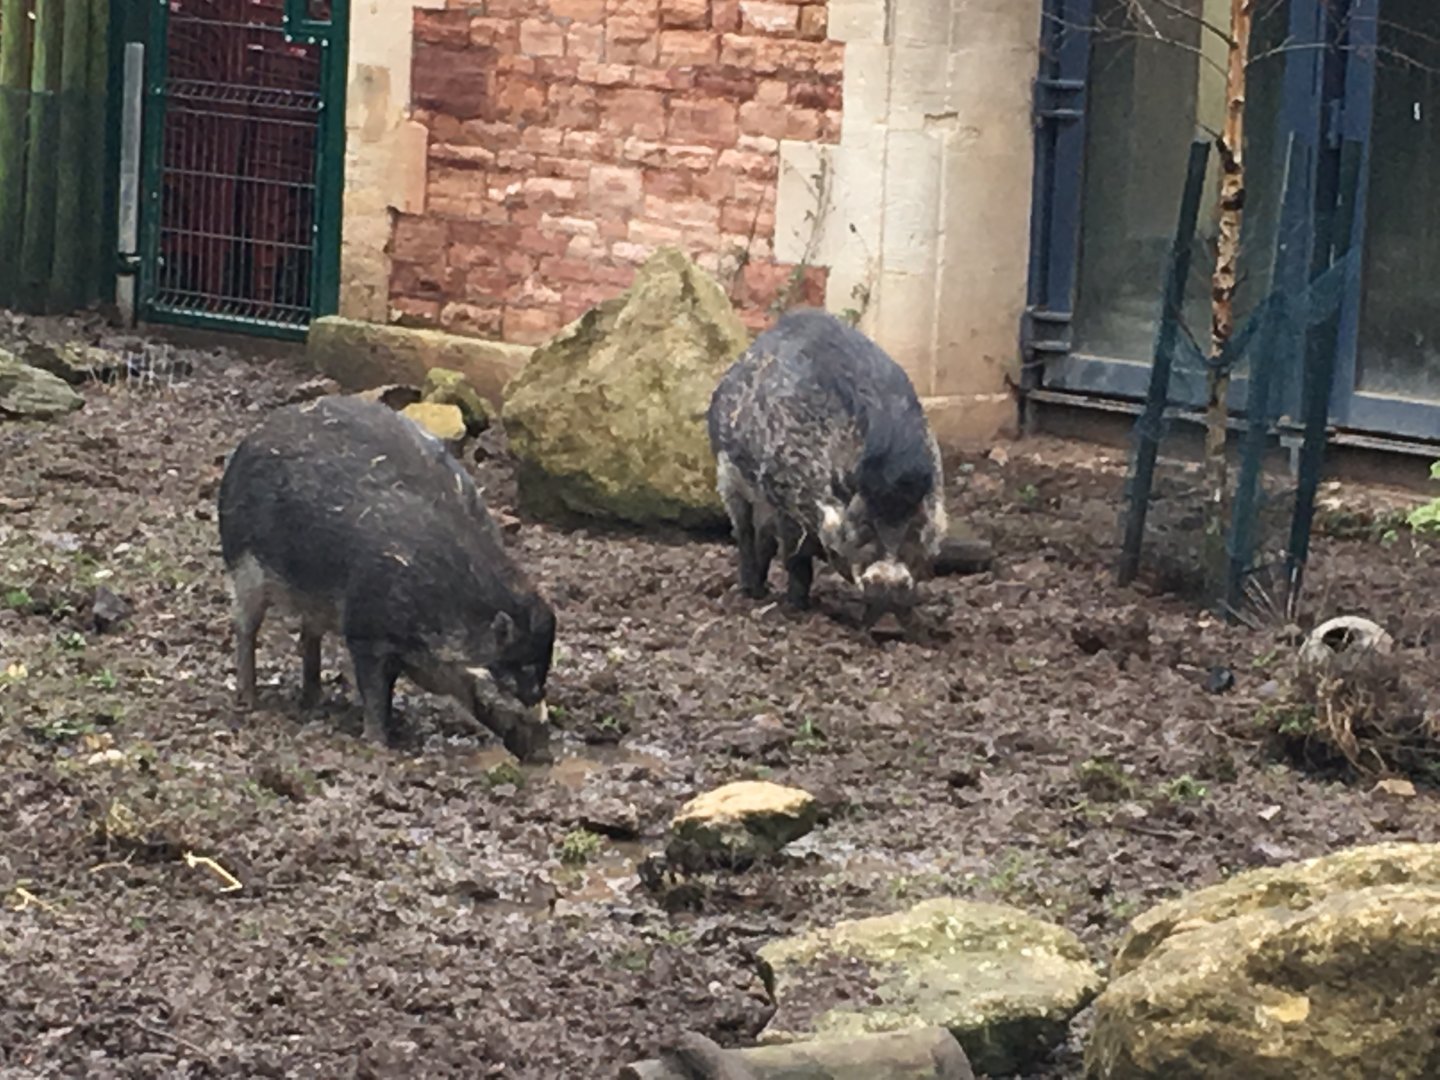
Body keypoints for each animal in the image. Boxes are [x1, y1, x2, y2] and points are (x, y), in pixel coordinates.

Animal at [216, 395, 555, 762]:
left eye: (542, 671)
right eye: (514, 674)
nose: (544, 754)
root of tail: (259, 432)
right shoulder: (366, 631)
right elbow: (376, 691)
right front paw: (378, 742)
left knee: (309, 635)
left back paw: (314, 701)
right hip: (244, 567)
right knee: (246, 627)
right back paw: (248, 700)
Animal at [706, 308, 947, 628]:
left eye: (916, 524)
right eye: (863, 525)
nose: (889, 583)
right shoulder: (785, 499)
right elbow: (796, 559)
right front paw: (797, 607)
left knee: (763, 539)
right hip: (729, 479)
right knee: (744, 533)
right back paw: (752, 592)